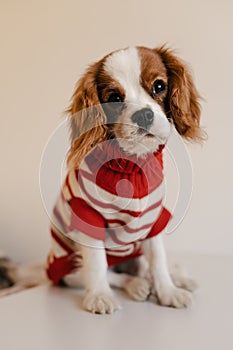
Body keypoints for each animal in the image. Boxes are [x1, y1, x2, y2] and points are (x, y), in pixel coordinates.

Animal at [45, 45, 202, 314]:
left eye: (159, 86)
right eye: (114, 98)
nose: (144, 115)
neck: (131, 166)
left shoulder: (153, 218)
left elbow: (158, 260)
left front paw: (168, 291)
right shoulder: (88, 216)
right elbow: (97, 264)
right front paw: (99, 296)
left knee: (143, 267)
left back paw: (175, 278)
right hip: (69, 269)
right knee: (113, 274)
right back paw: (136, 285)